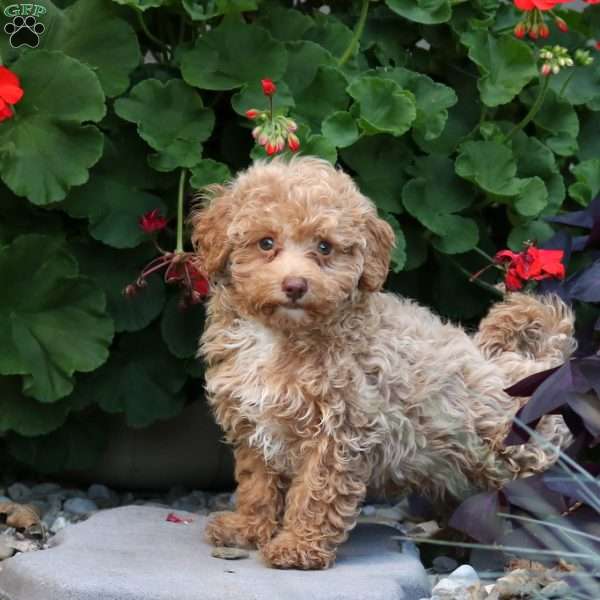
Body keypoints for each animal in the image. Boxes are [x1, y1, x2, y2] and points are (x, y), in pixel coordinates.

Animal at [193, 157, 576, 568]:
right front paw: (247, 528)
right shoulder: (253, 423)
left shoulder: (337, 432)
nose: (295, 285)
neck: (279, 335)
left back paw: (538, 561)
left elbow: (315, 491)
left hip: (521, 466)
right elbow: (257, 483)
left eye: (325, 247)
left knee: (542, 518)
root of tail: (537, 366)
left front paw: (298, 546)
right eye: (266, 242)